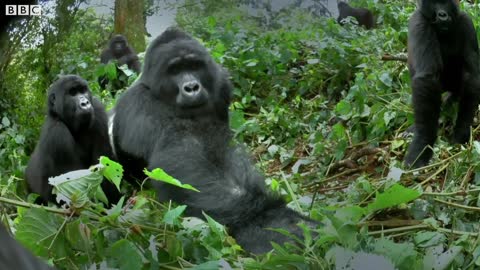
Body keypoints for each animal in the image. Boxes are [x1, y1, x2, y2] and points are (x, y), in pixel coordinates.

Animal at [110, 28, 316, 254]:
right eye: (174, 70)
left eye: (194, 66)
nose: (191, 87)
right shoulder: (140, 105)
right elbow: (177, 163)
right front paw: (263, 219)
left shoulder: (221, 85)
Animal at [404, 0, 480, 168]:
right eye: (433, 3)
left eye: (445, 2)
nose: (442, 15)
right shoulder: (419, 22)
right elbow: (427, 78)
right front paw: (422, 144)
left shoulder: (466, 22)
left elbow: (471, 75)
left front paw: (461, 131)